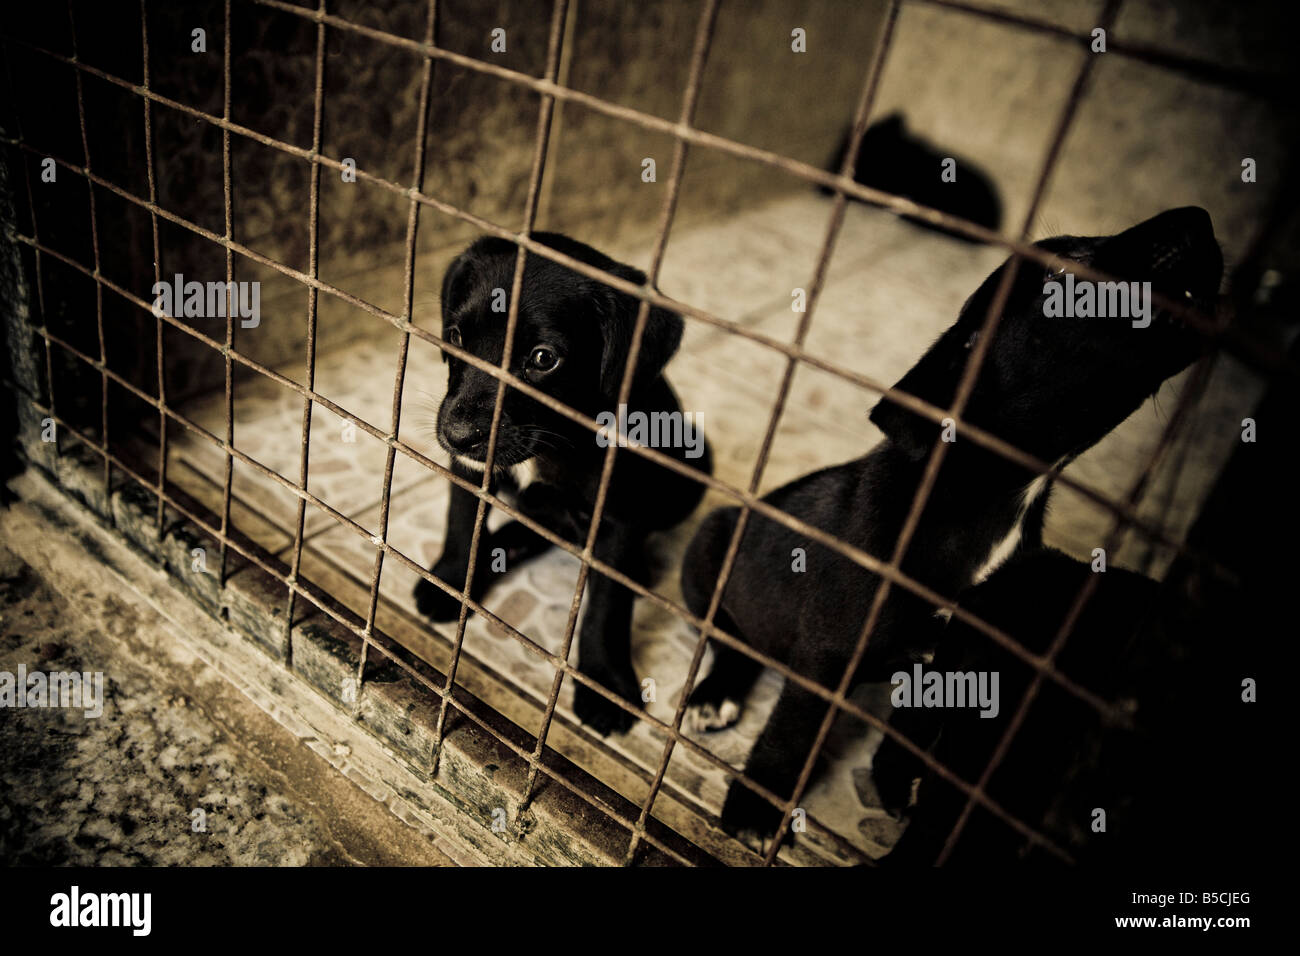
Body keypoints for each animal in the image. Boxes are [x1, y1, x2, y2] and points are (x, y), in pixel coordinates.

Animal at [418, 230, 712, 733]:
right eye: (455, 337)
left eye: (543, 359)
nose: (457, 435)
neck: (554, 443)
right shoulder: (471, 472)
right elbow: (461, 524)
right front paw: (452, 581)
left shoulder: (618, 520)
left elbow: (605, 609)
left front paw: (604, 682)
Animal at [686, 205, 1222, 832]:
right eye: (1068, 266)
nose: (1199, 216)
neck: (987, 500)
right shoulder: (829, 652)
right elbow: (793, 734)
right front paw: (756, 806)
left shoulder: (956, 659)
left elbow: (912, 730)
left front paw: (896, 785)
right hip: (710, 553)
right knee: (729, 638)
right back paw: (714, 693)